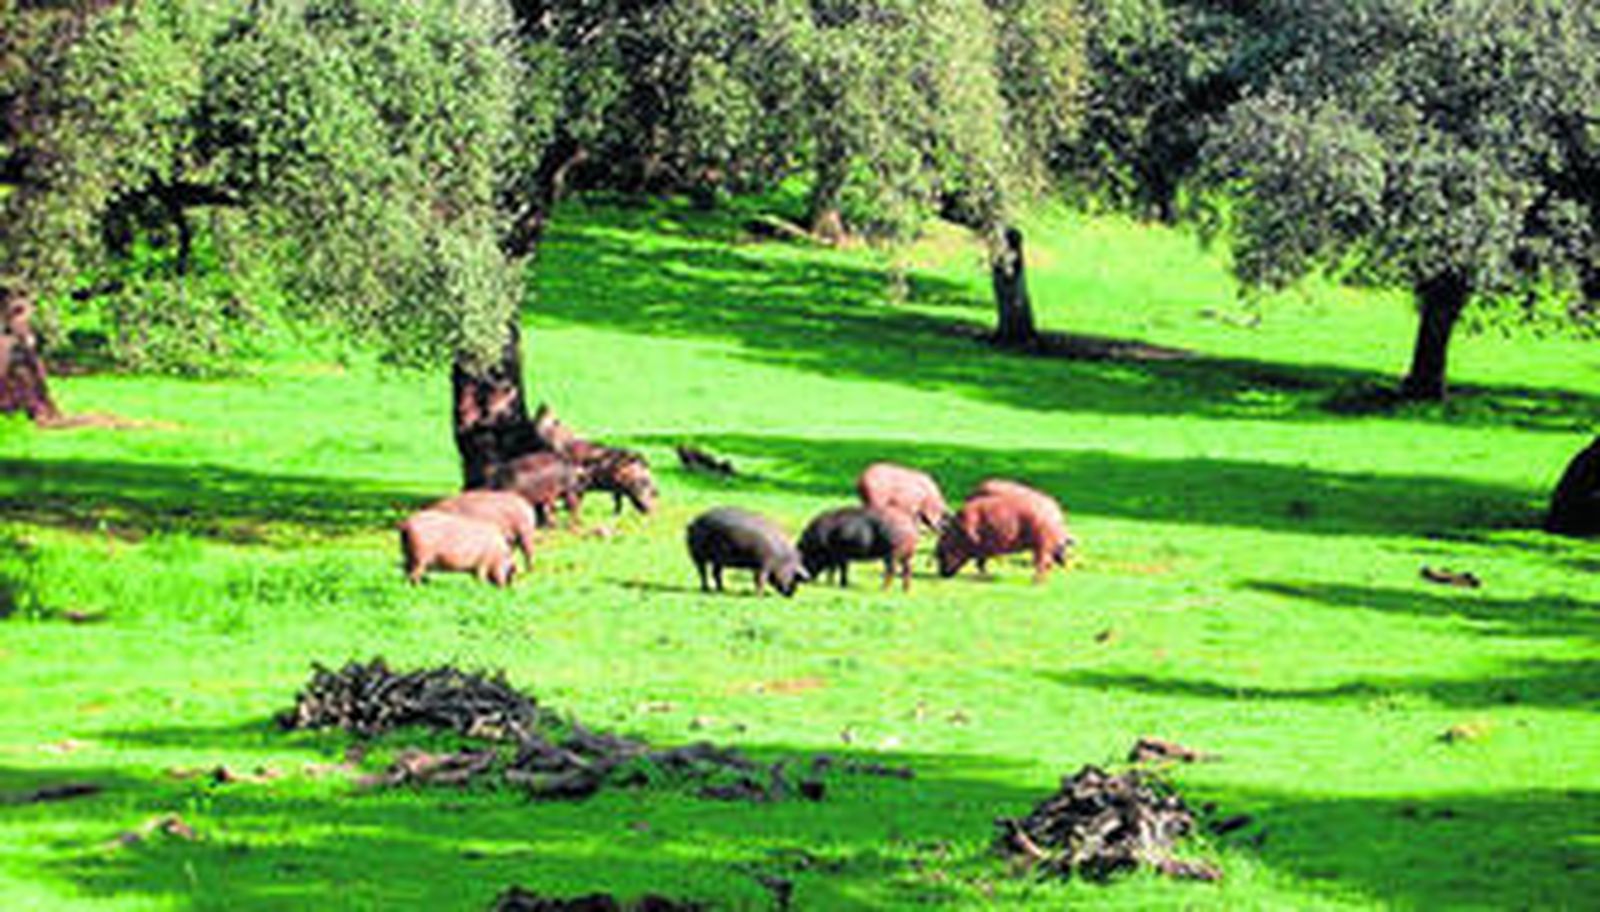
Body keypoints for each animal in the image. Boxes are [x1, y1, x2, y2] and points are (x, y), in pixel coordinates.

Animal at [936, 494, 1072, 584]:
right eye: (937, 553)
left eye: (940, 553)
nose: (941, 575)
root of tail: (1057, 512)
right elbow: (981, 562)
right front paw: (986, 575)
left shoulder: (981, 546)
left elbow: (980, 562)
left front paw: (986, 576)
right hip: (1044, 546)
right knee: (1048, 563)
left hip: (1042, 546)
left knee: (1043, 562)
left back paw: (1036, 582)